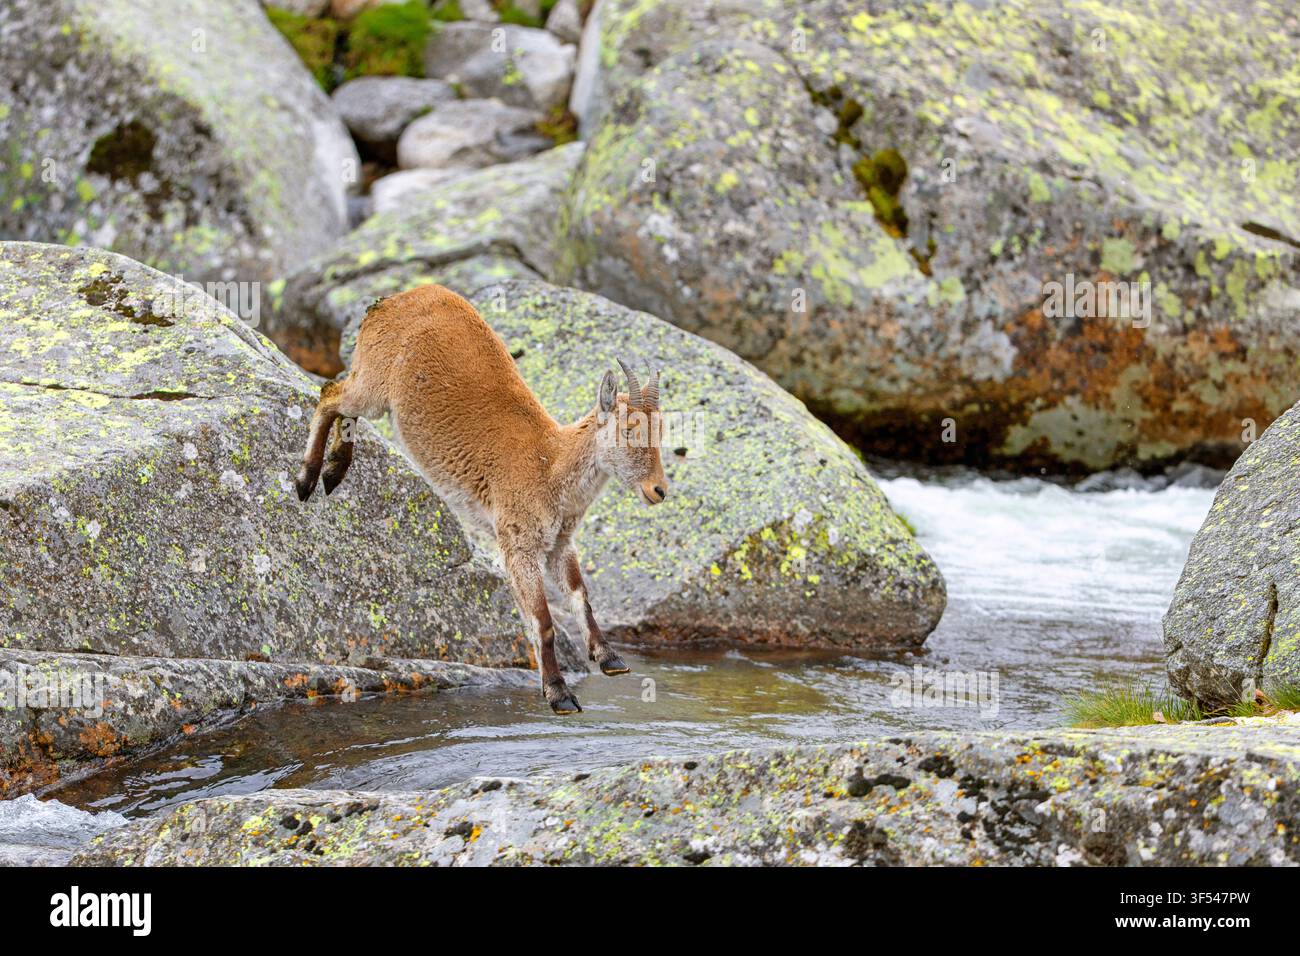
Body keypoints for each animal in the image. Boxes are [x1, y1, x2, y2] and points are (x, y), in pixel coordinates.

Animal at [294, 284, 669, 714]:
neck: (550, 465)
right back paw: (307, 479)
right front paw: (559, 694)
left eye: (661, 429)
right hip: (373, 384)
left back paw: (335, 471)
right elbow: (542, 621)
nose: (658, 490)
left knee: (339, 402)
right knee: (330, 393)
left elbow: (580, 597)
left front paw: (610, 659)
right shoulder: (518, 543)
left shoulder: (560, 543)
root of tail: (390, 300)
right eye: (629, 429)